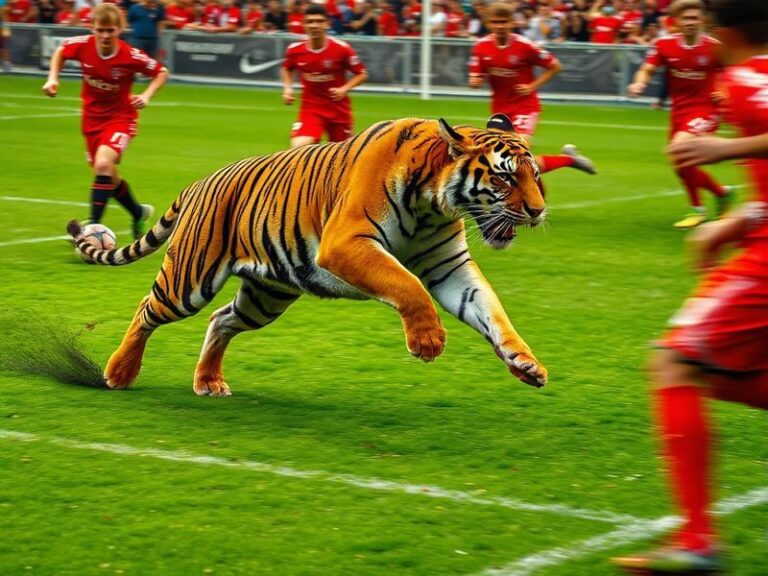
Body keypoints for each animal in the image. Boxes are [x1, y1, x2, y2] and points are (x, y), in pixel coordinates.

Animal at [67, 113, 549, 396]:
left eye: (535, 176)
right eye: (505, 178)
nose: (539, 210)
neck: (433, 202)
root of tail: (200, 182)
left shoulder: (450, 268)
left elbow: (491, 310)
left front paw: (526, 363)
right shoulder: (347, 242)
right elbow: (407, 284)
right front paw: (427, 341)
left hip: (267, 295)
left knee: (221, 320)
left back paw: (209, 382)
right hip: (189, 280)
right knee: (146, 310)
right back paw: (119, 373)